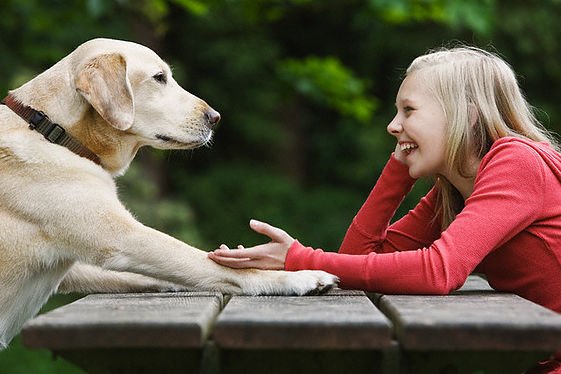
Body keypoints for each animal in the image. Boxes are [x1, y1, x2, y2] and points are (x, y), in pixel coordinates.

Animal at [0, 38, 336, 348]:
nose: (215, 117)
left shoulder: (74, 268)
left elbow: (159, 274)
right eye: (159, 77)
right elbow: (209, 262)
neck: (51, 129)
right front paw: (298, 277)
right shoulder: (124, 238)